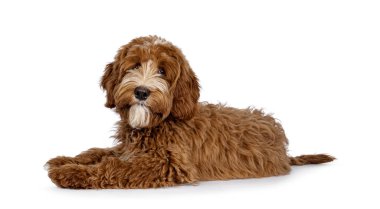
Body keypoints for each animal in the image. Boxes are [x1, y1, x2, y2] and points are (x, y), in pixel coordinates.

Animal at [46, 36, 334, 189]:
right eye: (134, 65)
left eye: (162, 71)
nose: (141, 92)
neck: (160, 122)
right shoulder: (130, 149)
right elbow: (99, 152)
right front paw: (65, 160)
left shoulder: (169, 164)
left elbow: (114, 166)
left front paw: (69, 173)